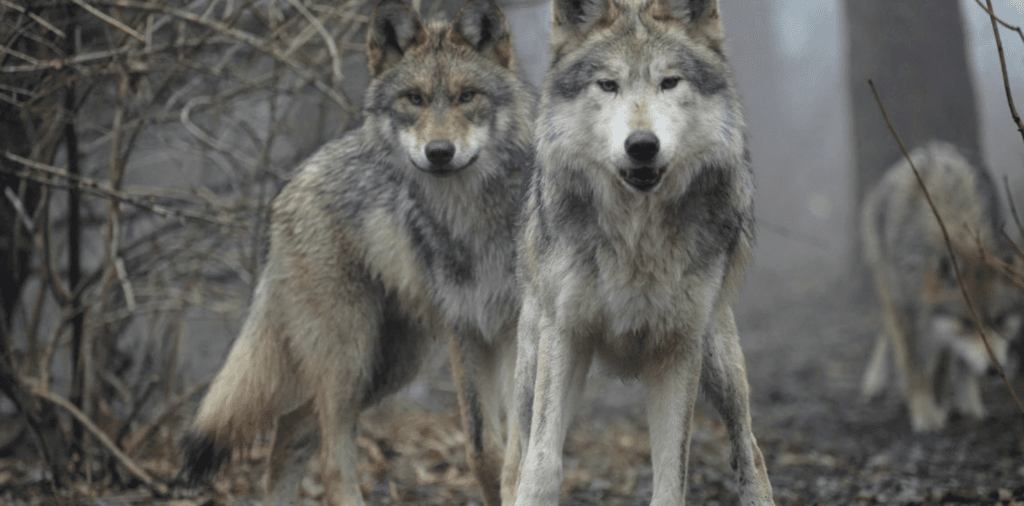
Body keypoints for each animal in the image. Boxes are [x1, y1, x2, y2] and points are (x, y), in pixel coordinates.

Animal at [176, 0, 534, 504]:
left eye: (468, 96)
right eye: (414, 99)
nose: (439, 152)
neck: (475, 220)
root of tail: (296, 178)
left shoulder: (517, 332)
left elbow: (517, 453)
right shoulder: (466, 331)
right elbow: (485, 452)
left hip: (388, 366)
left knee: (289, 429)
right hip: (351, 358)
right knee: (328, 456)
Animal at [499, 0, 775, 504]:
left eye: (670, 82)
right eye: (608, 84)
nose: (642, 146)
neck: (637, 237)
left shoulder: (677, 350)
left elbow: (671, 476)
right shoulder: (563, 336)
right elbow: (542, 463)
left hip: (718, 359)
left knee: (749, 446)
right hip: (532, 364)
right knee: (517, 457)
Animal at [860, 141, 1022, 432]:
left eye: (999, 320)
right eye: (967, 323)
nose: (994, 370)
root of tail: (931, 146)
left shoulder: (942, 323)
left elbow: (943, 364)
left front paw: (941, 403)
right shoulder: (906, 306)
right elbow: (911, 364)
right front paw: (924, 414)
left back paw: (968, 402)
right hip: (887, 284)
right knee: (886, 329)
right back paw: (874, 381)